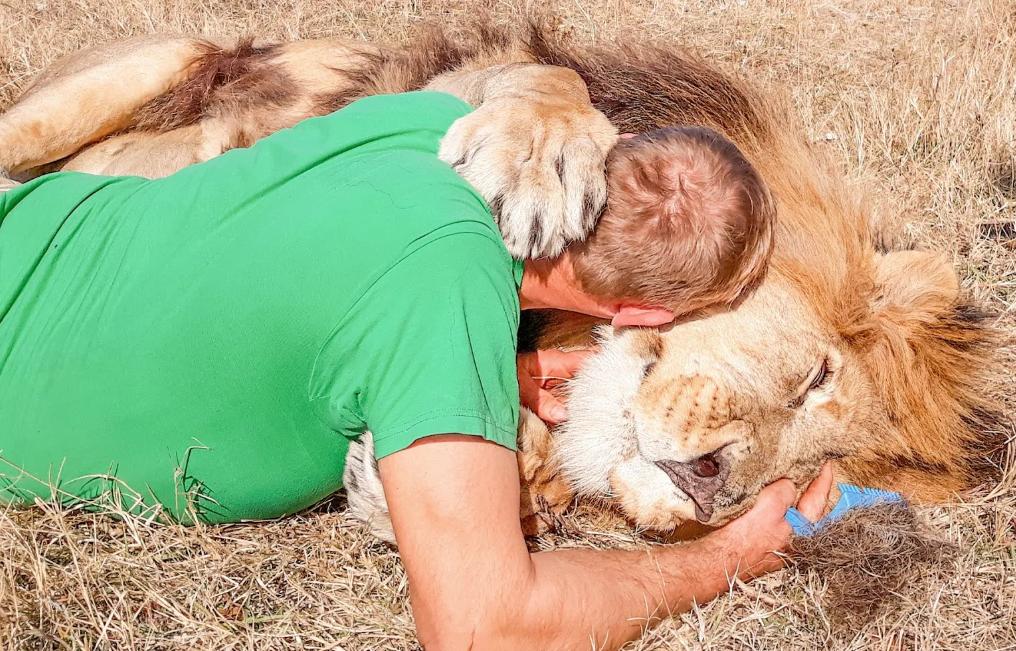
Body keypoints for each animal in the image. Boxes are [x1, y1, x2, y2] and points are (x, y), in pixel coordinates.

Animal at [0, 21, 1003, 544]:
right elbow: (548, 77)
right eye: (814, 376)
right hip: (166, 54)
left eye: (803, 481)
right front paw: (541, 155)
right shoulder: (442, 83)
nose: (712, 488)